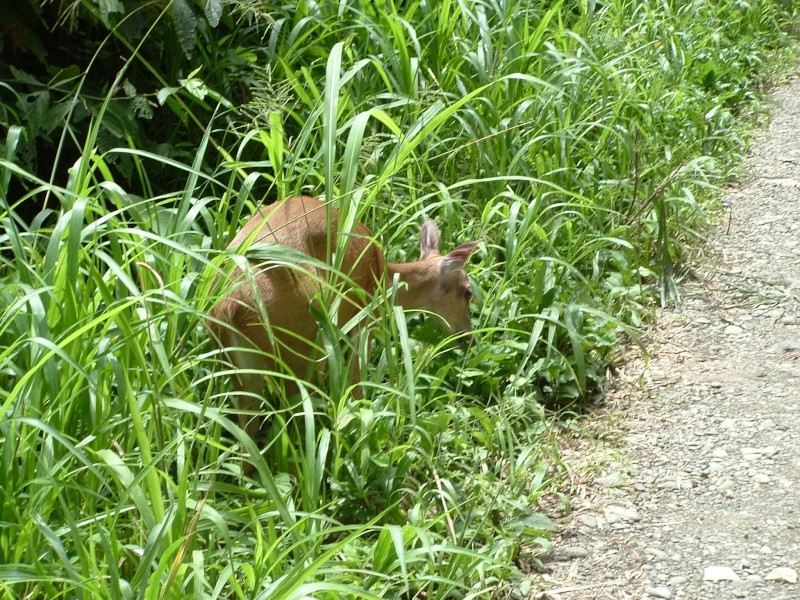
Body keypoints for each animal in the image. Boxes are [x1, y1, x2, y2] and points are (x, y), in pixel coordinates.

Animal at [209, 195, 478, 438]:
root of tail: (228, 305)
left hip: (240, 365)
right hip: (301, 346)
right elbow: (356, 380)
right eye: (468, 292)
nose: (469, 338)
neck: (385, 277)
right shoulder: (361, 318)